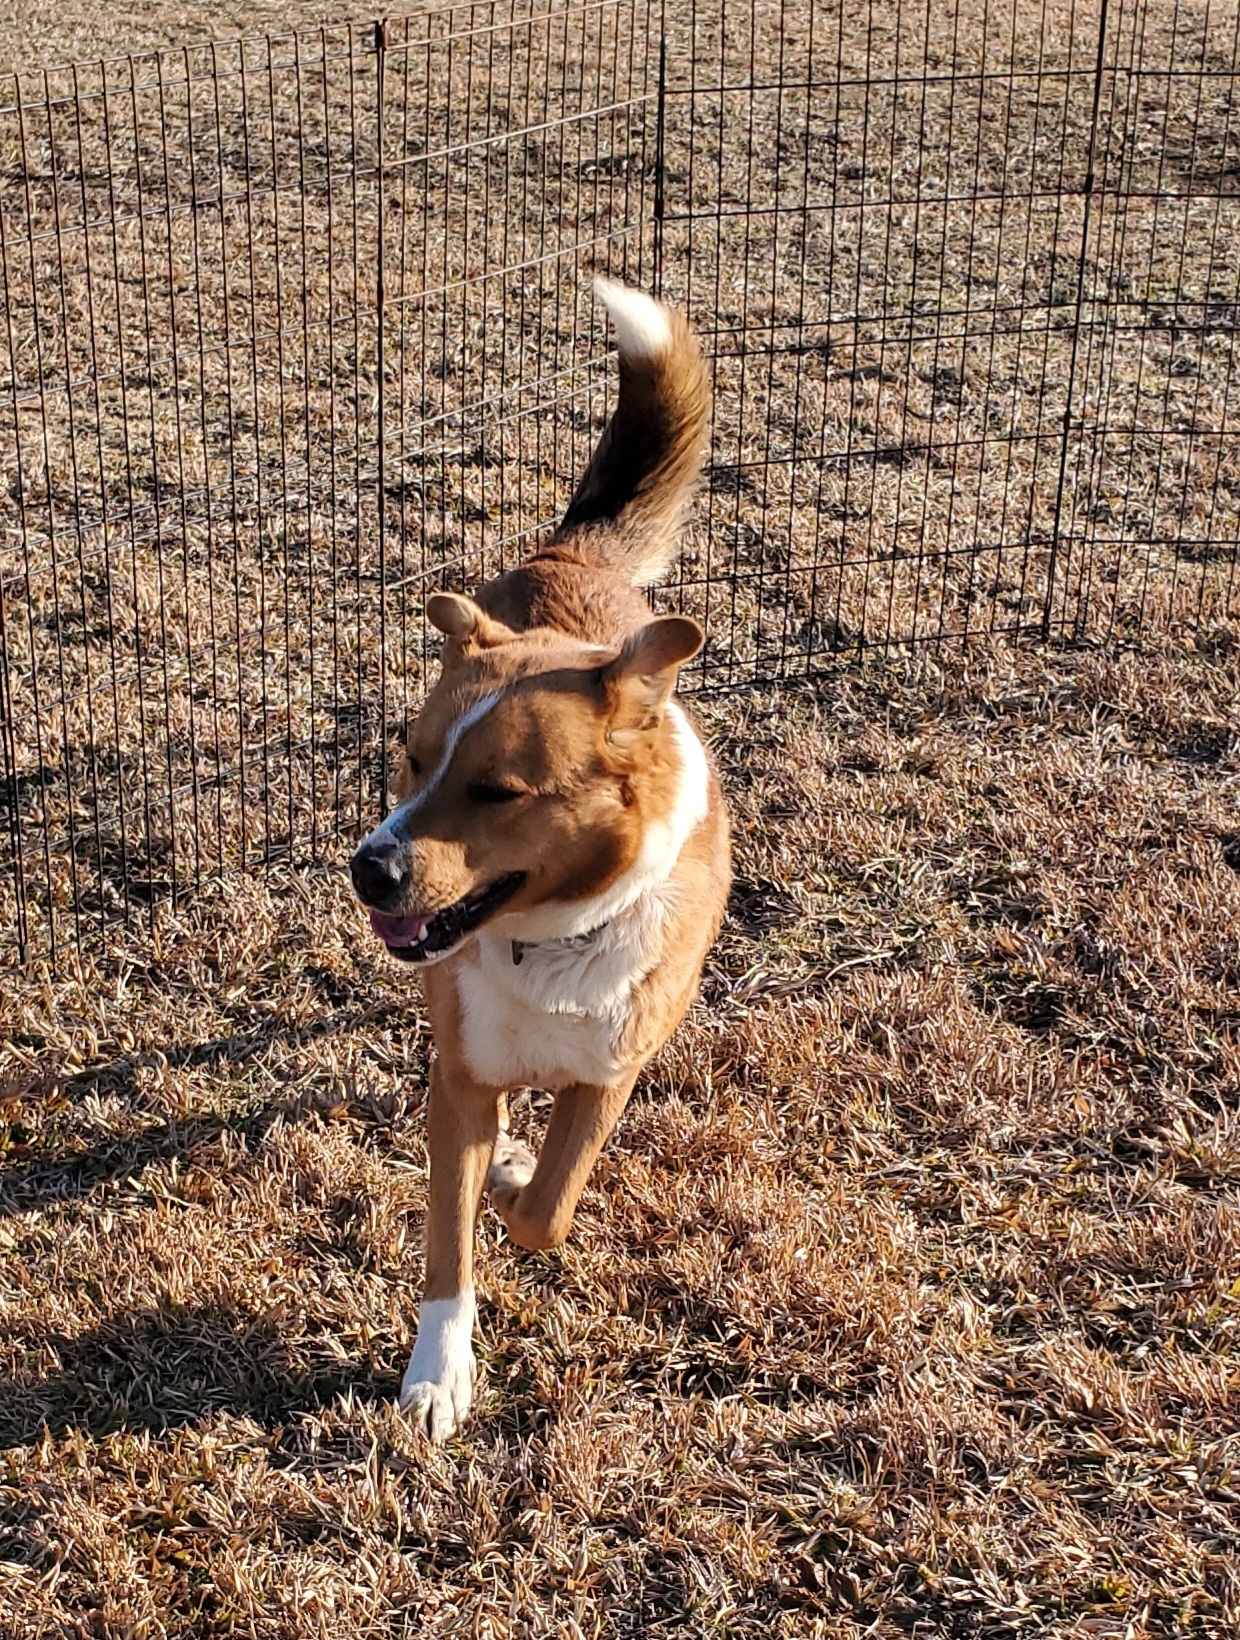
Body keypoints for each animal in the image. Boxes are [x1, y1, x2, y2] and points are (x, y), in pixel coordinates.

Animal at [349, 278, 731, 1436]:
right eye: (412, 758)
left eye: (498, 792)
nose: (368, 869)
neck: (549, 942)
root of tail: (579, 561)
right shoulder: (460, 1079)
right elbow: (451, 1245)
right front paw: (437, 1375)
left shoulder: (610, 1075)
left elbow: (545, 1214)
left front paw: (521, 1182)